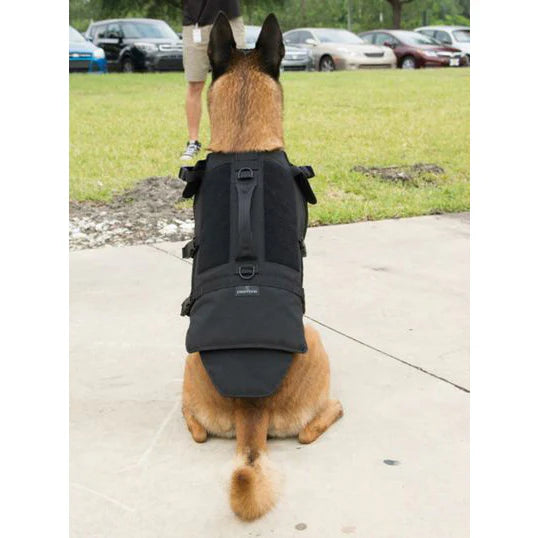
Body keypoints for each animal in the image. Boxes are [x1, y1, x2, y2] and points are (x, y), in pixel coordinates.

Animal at [181, 12, 343, 521]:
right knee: (311, 429)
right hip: (316, 338)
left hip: (188, 361)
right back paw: (336, 409)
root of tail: (250, 406)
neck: (245, 149)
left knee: (194, 427)